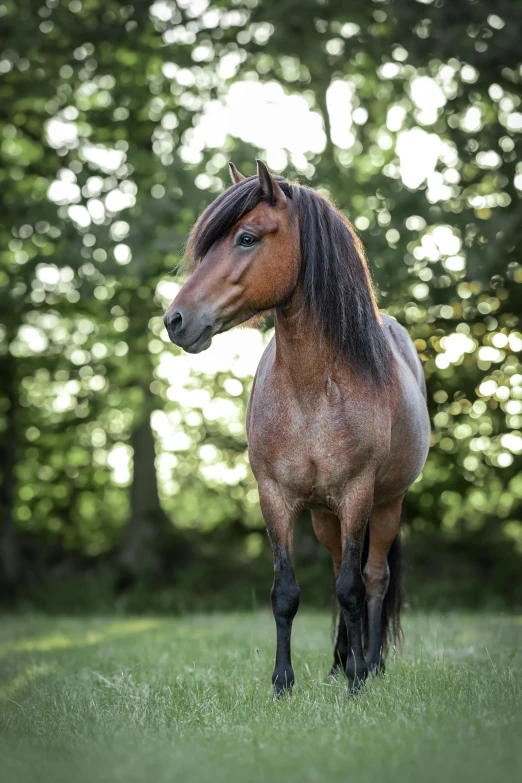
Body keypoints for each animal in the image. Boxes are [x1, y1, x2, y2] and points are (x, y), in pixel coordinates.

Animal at [165, 162, 428, 696]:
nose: (175, 320)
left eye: (246, 237)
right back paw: (338, 662)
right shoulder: (275, 496)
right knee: (339, 572)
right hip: (327, 516)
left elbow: (353, 588)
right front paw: (283, 682)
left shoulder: (357, 493)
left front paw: (357, 682)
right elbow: (287, 591)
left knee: (373, 580)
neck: (311, 395)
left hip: (386, 504)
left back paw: (370, 663)